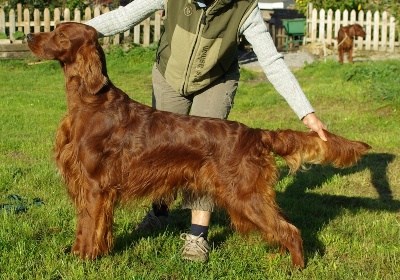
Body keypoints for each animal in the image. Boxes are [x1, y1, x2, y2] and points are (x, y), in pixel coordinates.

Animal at [27, 23, 372, 268]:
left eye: (60, 34)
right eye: (53, 28)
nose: (29, 34)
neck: (91, 102)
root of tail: (255, 134)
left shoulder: (96, 185)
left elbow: (90, 227)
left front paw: (84, 259)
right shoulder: (88, 185)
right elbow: (84, 228)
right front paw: (76, 254)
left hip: (244, 194)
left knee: (291, 230)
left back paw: (296, 267)